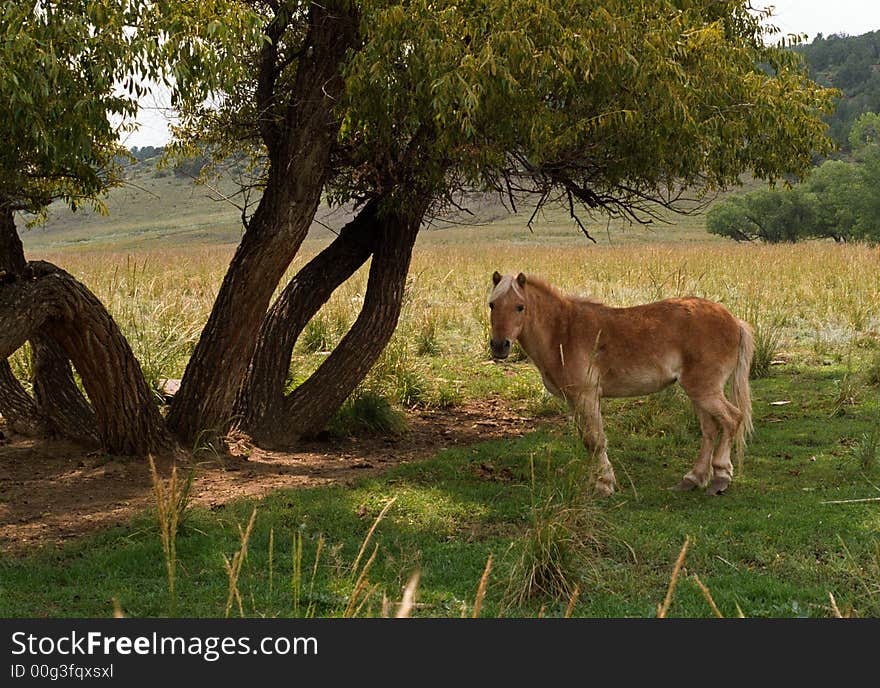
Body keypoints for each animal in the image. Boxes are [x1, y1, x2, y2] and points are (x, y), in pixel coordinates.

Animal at [484, 272, 752, 494]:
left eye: (520, 307)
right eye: (492, 305)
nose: (499, 346)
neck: (564, 332)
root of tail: (734, 321)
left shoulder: (587, 396)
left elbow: (596, 441)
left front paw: (604, 484)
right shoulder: (575, 401)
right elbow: (587, 441)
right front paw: (596, 481)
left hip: (705, 390)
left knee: (732, 419)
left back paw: (720, 479)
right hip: (698, 392)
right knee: (710, 429)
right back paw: (693, 479)